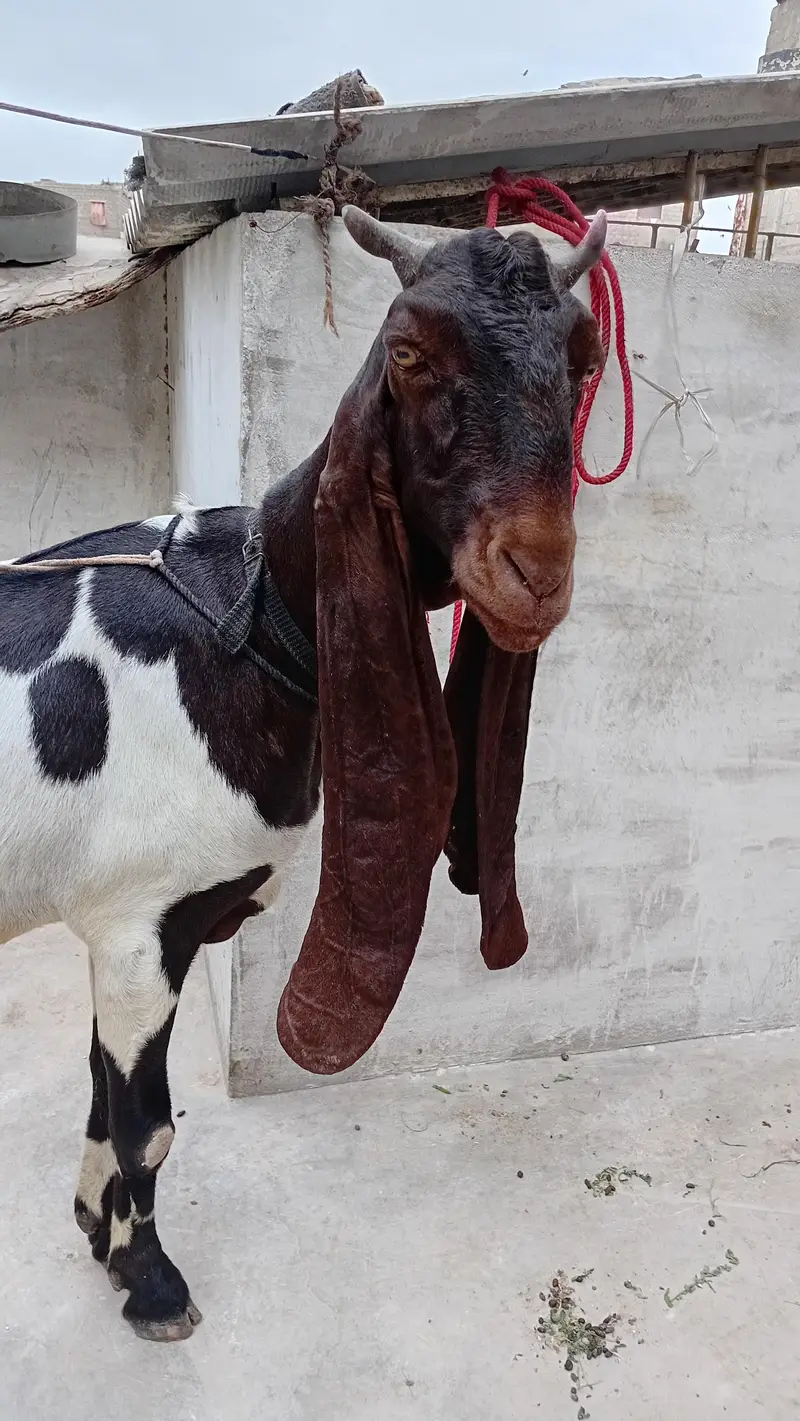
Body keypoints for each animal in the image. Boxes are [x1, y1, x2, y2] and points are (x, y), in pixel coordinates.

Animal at [0, 205, 607, 1341]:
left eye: (584, 359)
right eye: (409, 352)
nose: (535, 572)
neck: (241, 620)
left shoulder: (138, 927)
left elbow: (106, 1095)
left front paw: (96, 1232)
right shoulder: (139, 919)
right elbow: (146, 1122)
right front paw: (152, 1281)